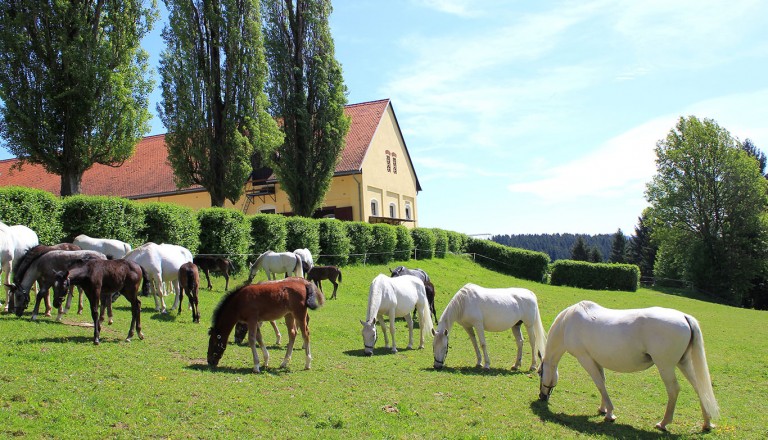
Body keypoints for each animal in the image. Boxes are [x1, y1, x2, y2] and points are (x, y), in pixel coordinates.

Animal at [540, 300, 720, 432]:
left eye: (540, 373)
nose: (542, 397)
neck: (567, 323)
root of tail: (684, 317)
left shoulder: (585, 359)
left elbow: (598, 383)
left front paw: (610, 414)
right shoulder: (596, 360)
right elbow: (602, 383)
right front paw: (603, 409)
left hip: (666, 366)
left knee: (673, 390)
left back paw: (663, 423)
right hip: (683, 363)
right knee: (700, 388)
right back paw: (707, 423)